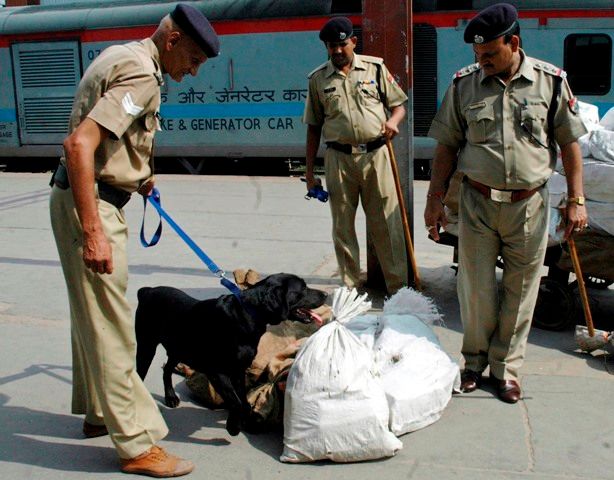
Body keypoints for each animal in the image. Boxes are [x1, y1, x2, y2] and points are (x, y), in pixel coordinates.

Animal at [135, 274, 328, 436]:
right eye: (302, 288)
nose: (326, 294)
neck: (249, 314)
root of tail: (147, 291)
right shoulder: (218, 372)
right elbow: (235, 402)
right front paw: (233, 426)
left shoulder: (239, 370)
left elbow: (243, 399)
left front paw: (246, 421)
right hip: (147, 347)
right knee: (140, 375)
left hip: (179, 349)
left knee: (167, 368)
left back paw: (171, 397)